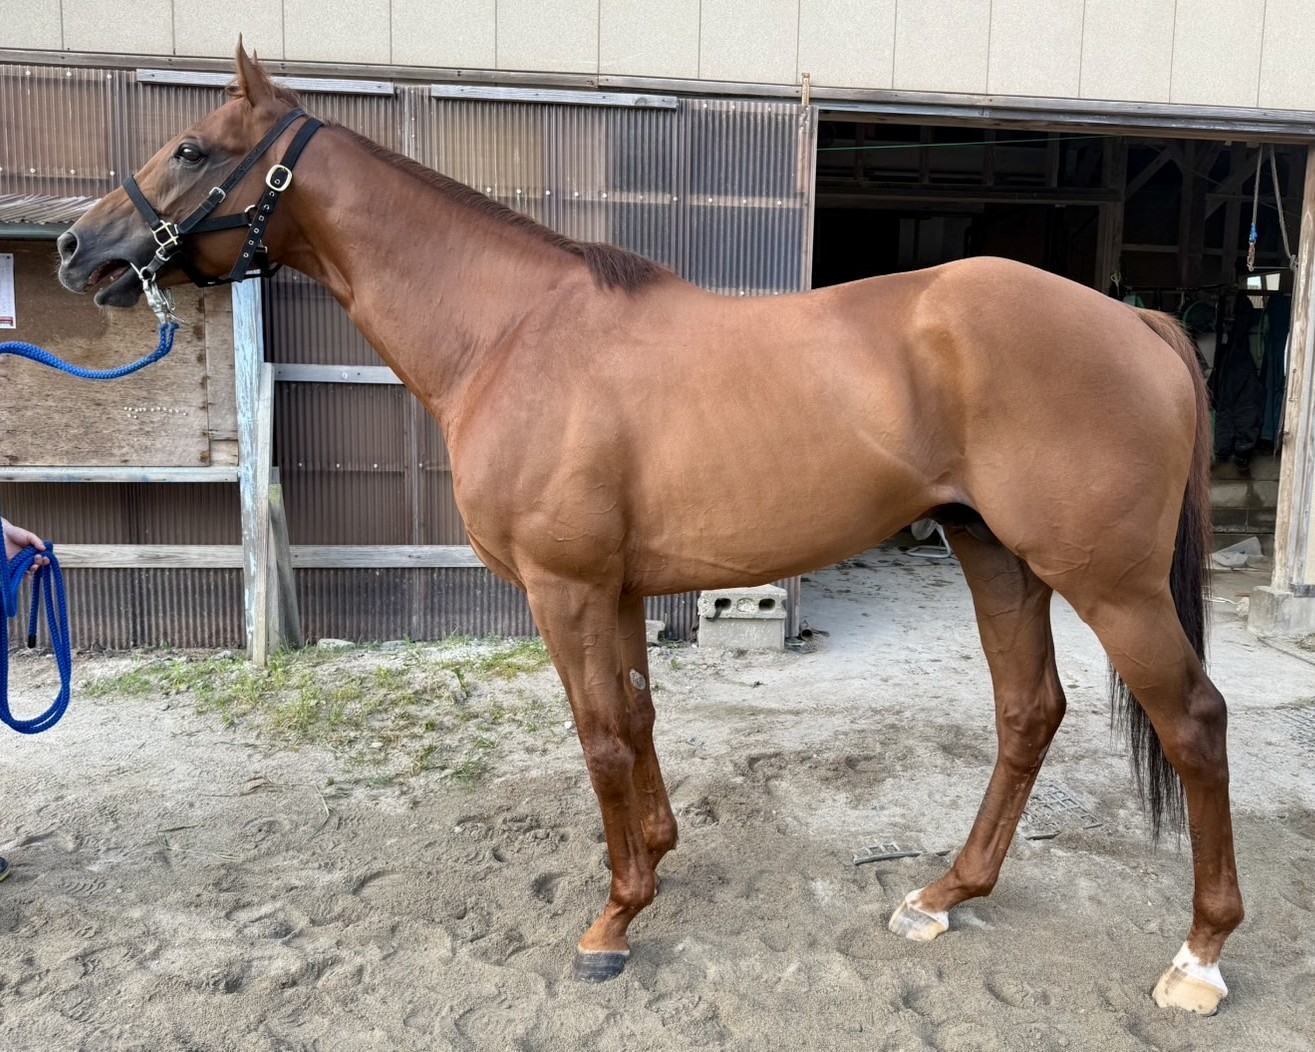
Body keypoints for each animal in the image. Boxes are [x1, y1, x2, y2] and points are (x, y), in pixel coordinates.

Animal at [55, 44, 1240, 1014]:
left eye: (191, 147)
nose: (76, 246)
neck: (513, 331)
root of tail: (1131, 317)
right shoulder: (616, 589)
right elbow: (638, 715)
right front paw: (659, 864)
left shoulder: (566, 587)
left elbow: (601, 735)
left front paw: (613, 920)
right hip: (994, 552)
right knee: (1026, 712)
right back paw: (945, 891)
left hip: (1108, 581)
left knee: (1191, 721)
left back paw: (1198, 955)